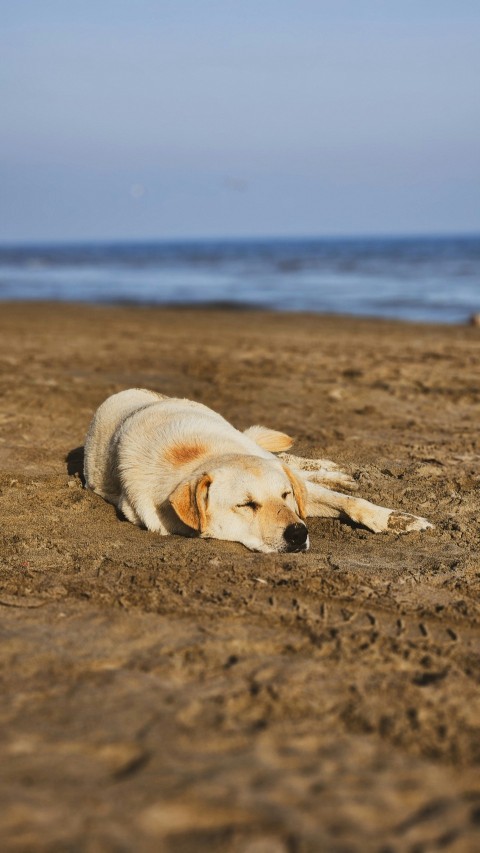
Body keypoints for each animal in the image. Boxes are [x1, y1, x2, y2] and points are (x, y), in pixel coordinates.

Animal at [84, 392, 434, 556]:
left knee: (292, 462)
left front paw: (396, 520)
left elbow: (351, 502)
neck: (201, 457)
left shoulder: (297, 492)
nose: (299, 534)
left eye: (284, 495)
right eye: (246, 505)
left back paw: (336, 470)